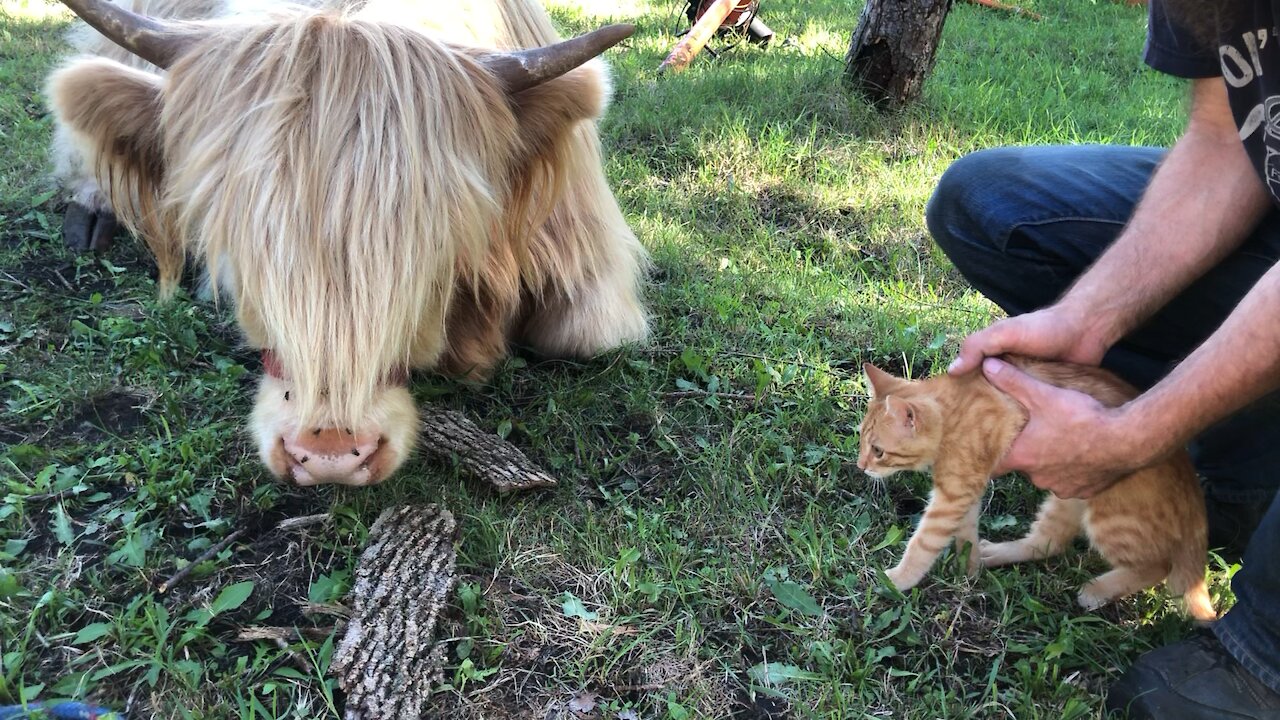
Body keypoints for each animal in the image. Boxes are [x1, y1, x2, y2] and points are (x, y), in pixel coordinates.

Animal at [860, 353, 1208, 617]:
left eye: (878, 451)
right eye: (862, 442)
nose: (860, 466)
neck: (954, 410)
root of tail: (1194, 501)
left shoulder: (953, 494)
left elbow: (923, 543)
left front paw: (898, 579)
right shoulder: (965, 486)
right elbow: (966, 533)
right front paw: (969, 570)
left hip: (1113, 520)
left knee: (1158, 566)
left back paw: (1097, 591)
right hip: (1068, 499)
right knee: (1049, 543)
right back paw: (997, 553)